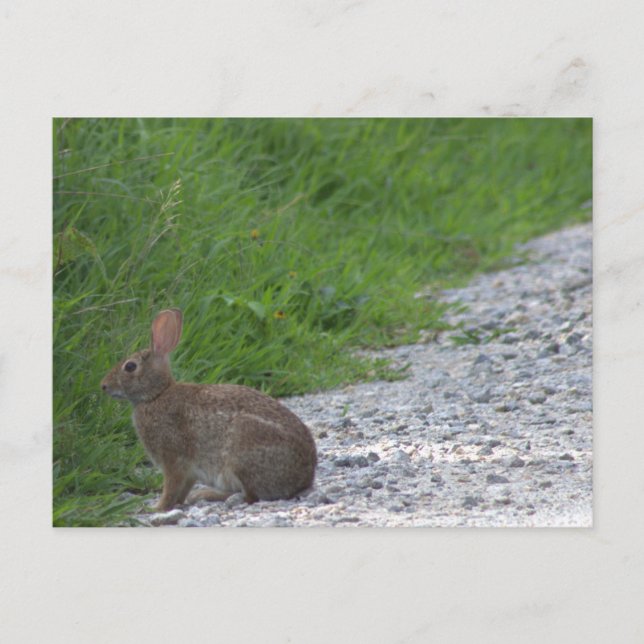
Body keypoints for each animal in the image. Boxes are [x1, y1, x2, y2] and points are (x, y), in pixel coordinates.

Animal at [100, 308, 317, 512]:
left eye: (130, 367)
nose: (103, 386)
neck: (157, 394)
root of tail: (303, 479)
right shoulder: (189, 472)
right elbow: (182, 489)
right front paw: (175, 504)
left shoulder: (174, 460)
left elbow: (170, 488)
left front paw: (156, 508)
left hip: (242, 454)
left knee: (250, 496)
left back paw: (206, 494)